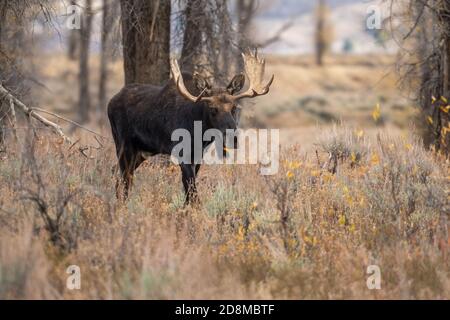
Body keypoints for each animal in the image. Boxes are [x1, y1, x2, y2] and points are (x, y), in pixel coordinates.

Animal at [107, 51, 274, 204]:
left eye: (234, 107)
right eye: (213, 109)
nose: (232, 136)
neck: (200, 132)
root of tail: (110, 102)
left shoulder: (198, 156)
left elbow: (189, 194)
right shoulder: (182, 154)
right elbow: (192, 193)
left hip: (141, 152)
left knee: (117, 172)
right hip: (124, 145)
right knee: (125, 178)